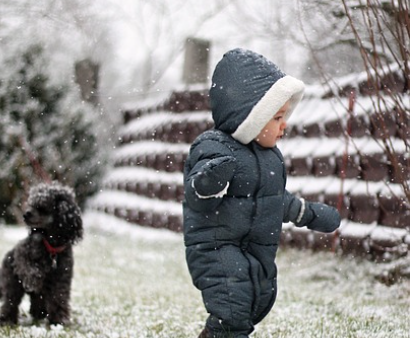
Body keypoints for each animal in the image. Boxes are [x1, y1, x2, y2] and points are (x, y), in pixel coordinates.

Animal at [0, 182, 82, 324]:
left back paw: (39, 313)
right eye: (31, 204)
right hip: (11, 279)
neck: (51, 247)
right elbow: (30, 269)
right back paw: (7, 318)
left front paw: (58, 319)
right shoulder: (21, 255)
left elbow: (59, 296)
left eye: (41, 207)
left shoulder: (61, 276)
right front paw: (34, 279)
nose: (25, 214)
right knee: (11, 299)